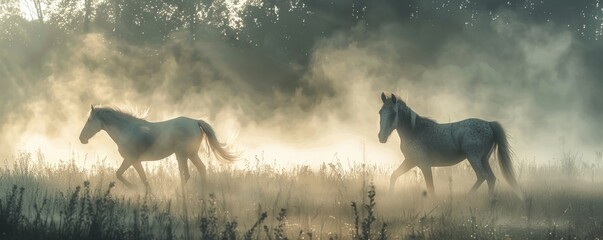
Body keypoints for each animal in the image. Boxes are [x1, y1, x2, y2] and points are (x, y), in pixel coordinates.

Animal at [81, 106, 237, 192]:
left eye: (89, 120)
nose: (81, 138)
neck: (126, 129)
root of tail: (195, 122)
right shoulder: (135, 161)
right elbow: (141, 178)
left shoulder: (132, 159)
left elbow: (122, 174)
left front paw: (136, 188)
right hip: (192, 154)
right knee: (202, 169)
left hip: (181, 155)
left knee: (186, 175)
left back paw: (179, 194)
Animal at [382, 93, 524, 200]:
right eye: (380, 112)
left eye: (393, 114)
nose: (381, 137)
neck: (415, 130)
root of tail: (489, 124)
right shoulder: (410, 161)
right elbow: (394, 176)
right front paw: (390, 197)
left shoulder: (424, 164)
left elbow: (430, 186)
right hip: (484, 159)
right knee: (491, 178)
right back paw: (490, 201)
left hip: (473, 157)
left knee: (483, 176)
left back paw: (468, 197)